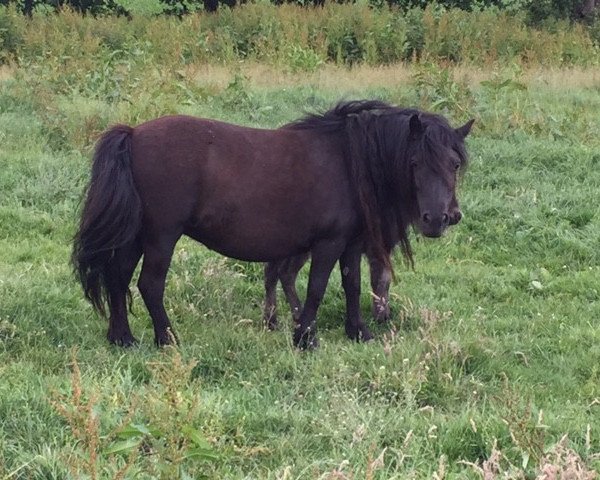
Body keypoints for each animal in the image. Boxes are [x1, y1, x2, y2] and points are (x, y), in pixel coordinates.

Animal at [71, 100, 474, 348]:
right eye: (414, 163)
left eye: (454, 163)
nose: (438, 218)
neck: (350, 160)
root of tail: (134, 134)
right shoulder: (327, 243)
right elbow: (316, 288)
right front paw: (306, 338)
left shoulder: (351, 244)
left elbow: (353, 286)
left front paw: (358, 332)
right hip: (161, 236)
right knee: (149, 285)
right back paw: (167, 339)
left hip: (136, 236)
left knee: (117, 277)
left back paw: (123, 338)